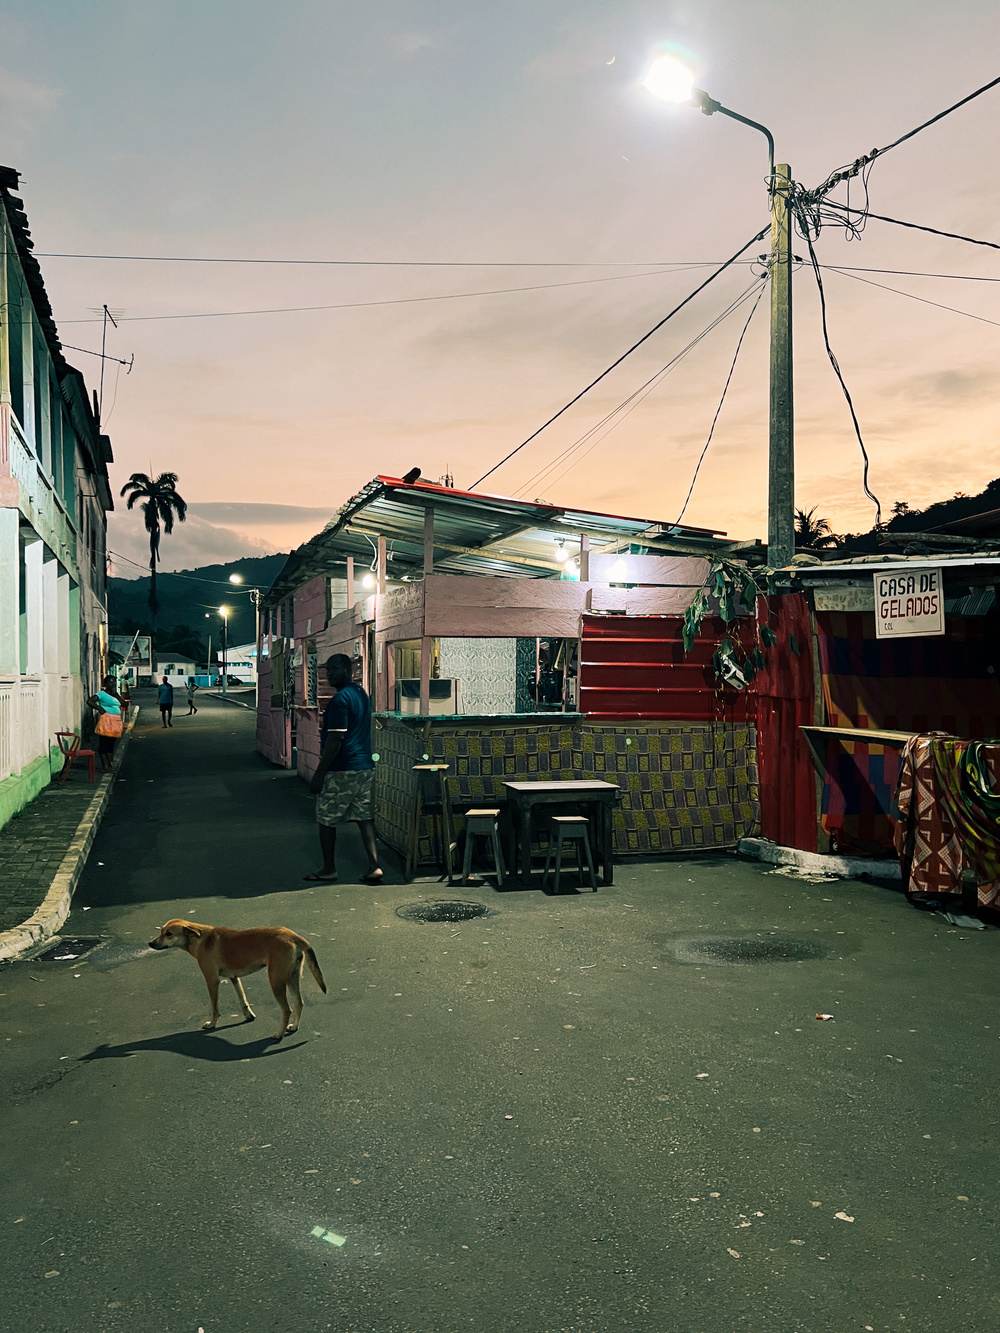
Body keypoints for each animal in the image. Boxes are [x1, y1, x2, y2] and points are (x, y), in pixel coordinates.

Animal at [150, 917, 329, 1039]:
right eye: (161, 931)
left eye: (168, 934)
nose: (151, 944)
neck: (200, 939)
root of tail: (291, 935)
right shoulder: (234, 978)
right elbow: (242, 998)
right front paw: (248, 1015)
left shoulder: (212, 980)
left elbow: (215, 1007)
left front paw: (212, 1024)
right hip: (292, 978)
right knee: (299, 1003)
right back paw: (293, 1027)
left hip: (276, 981)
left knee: (287, 1009)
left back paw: (279, 1034)